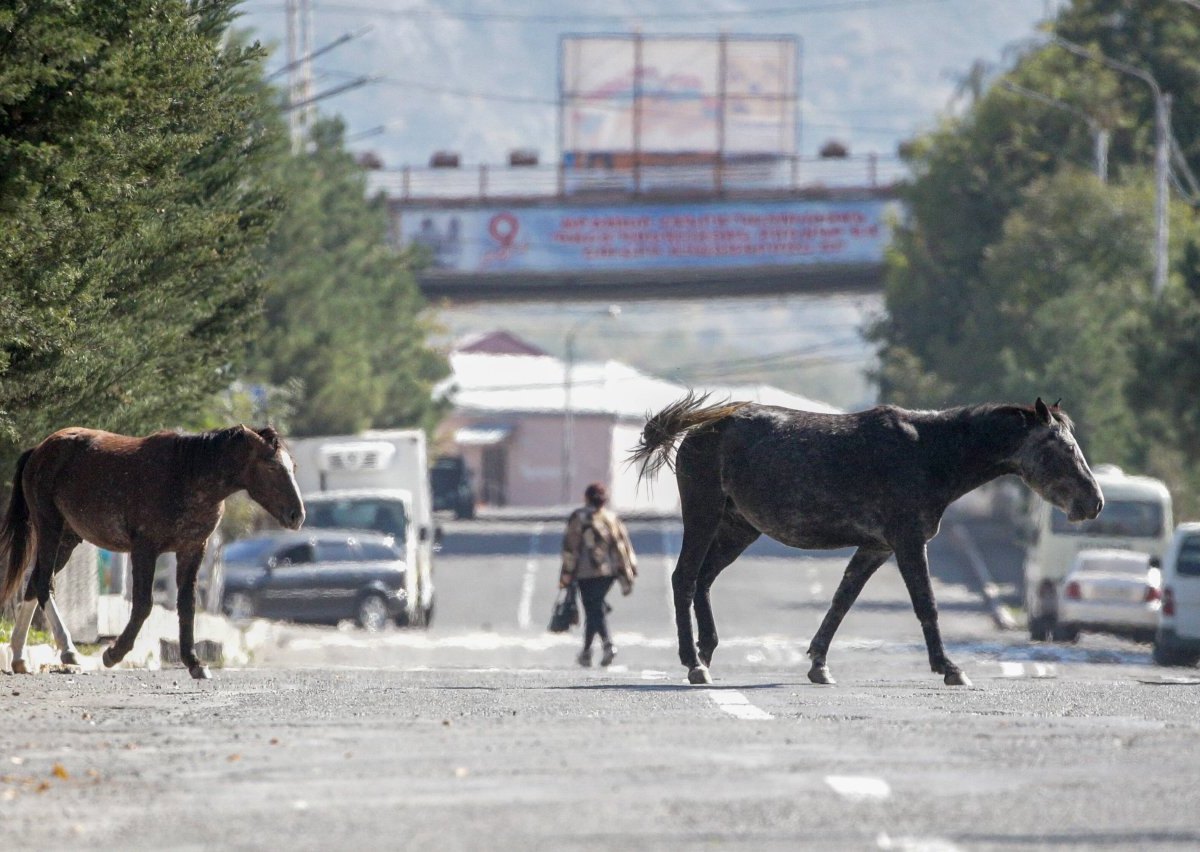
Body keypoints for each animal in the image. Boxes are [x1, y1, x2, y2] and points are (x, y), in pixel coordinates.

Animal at [0, 427, 304, 681]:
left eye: (293, 466)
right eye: (271, 465)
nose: (297, 515)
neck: (187, 474)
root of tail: (39, 451)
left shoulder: (192, 550)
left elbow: (187, 605)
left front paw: (195, 663)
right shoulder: (144, 549)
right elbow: (143, 604)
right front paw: (113, 653)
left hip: (68, 539)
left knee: (34, 584)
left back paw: (19, 659)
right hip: (49, 528)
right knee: (43, 584)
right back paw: (68, 650)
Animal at [633, 393, 1099, 686]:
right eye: (1060, 448)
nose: (1093, 502)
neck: (929, 451)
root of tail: (698, 429)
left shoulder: (877, 547)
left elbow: (842, 601)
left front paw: (819, 665)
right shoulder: (908, 542)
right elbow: (926, 605)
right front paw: (949, 667)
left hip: (738, 527)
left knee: (704, 580)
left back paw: (706, 652)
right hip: (704, 514)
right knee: (684, 579)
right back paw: (693, 662)